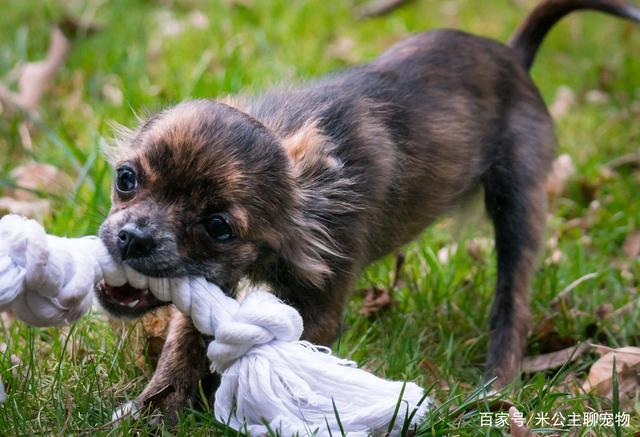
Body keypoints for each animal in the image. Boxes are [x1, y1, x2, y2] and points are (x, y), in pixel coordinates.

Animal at [95, 0, 640, 422]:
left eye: (217, 227)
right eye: (126, 179)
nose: (133, 238)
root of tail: (514, 56)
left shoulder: (319, 305)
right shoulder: (212, 283)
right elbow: (182, 346)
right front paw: (153, 412)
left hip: (519, 204)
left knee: (514, 301)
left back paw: (496, 386)